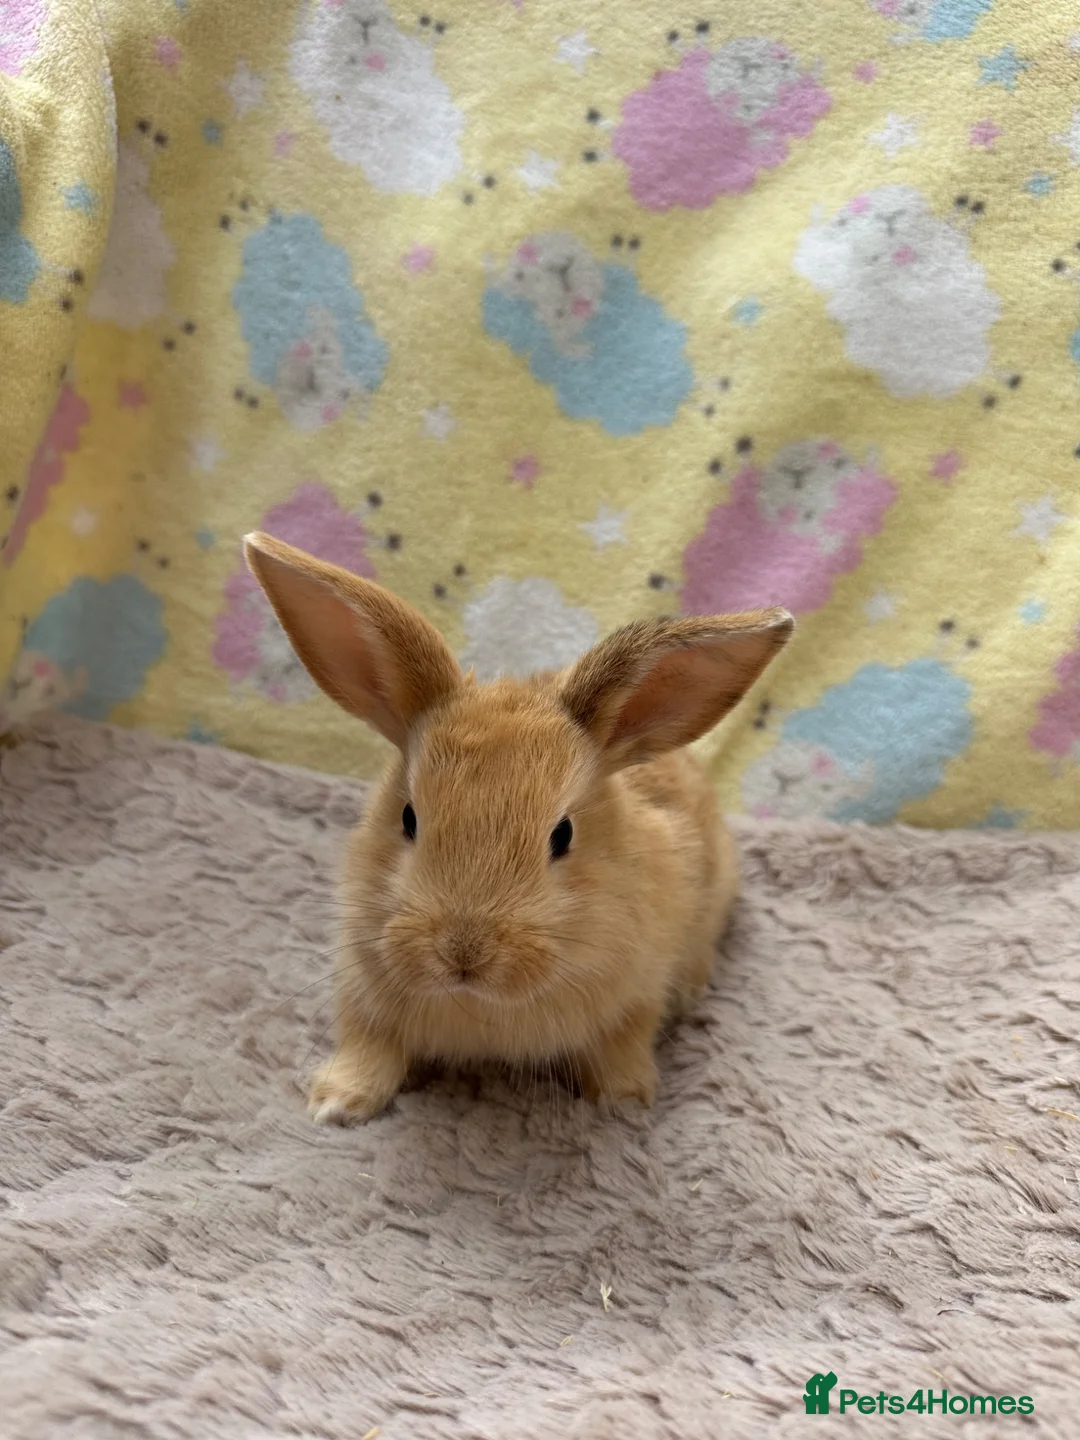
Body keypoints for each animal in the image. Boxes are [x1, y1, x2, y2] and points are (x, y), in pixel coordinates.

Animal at [244, 532, 793, 1123]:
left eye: (563, 835)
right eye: (408, 818)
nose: (463, 955)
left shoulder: (637, 997)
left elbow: (624, 1043)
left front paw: (624, 1102)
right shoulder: (361, 989)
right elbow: (367, 1045)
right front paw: (337, 1103)